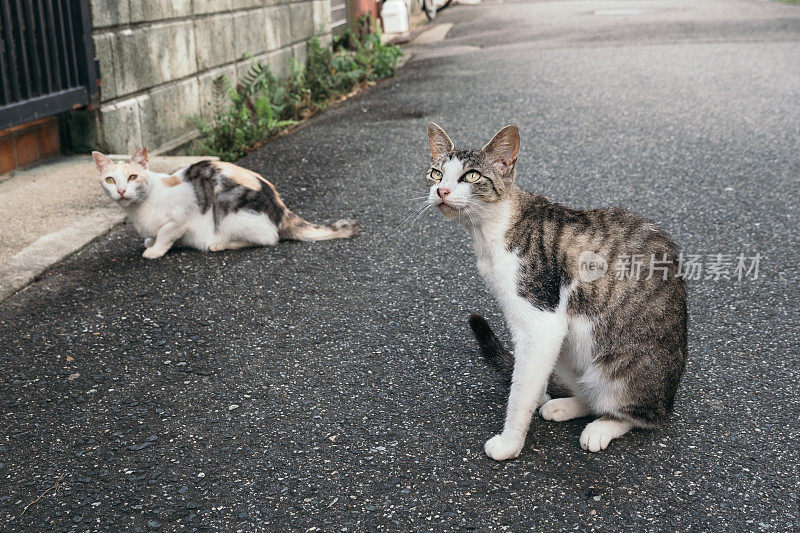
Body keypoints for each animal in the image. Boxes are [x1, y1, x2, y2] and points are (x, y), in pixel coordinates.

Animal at [92, 147, 358, 256]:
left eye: (132, 177)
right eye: (110, 180)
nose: (122, 191)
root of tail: (281, 209)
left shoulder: (181, 217)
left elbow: (166, 234)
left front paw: (154, 251)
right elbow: (154, 236)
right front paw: (150, 242)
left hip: (228, 209)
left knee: (267, 239)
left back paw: (220, 244)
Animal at [424, 121, 688, 458]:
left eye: (471, 176)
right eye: (436, 173)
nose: (441, 191)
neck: (490, 230)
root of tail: (668, 398)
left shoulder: (541, 323)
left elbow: (521, 391)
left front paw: (510, 443)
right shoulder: (527, 323)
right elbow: (526, 375)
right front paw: (536, 395)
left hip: (625, 368)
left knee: (638, 415)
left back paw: (603, 426)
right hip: (569, 348)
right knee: (590, 395)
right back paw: (566, 405)